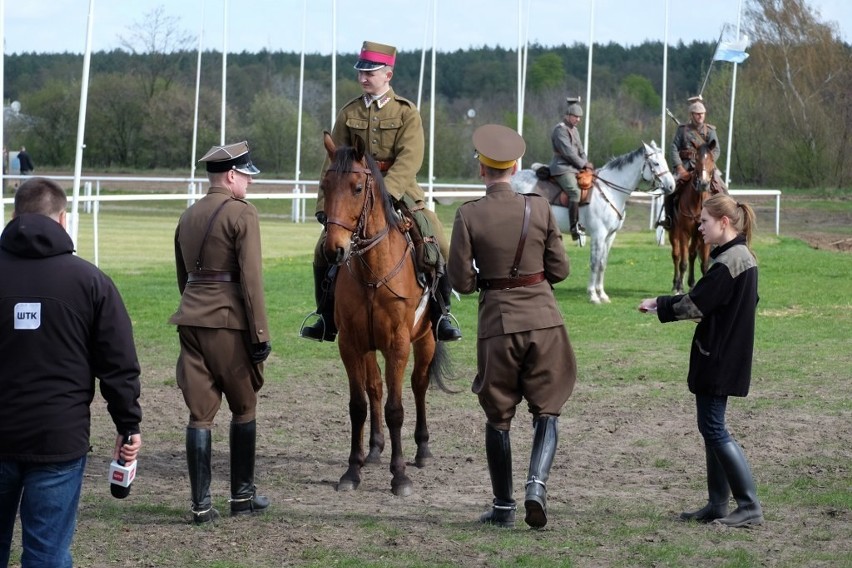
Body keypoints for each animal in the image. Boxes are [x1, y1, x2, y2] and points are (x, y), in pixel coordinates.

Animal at [320, 131, 452, 494]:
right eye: (324, 186)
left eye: (357, 188)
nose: (334, 250)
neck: (372, 273)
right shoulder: (351, 344)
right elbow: (358, 405)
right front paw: (352, 471)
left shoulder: (398, 344)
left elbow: (396, 408)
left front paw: (400, 475)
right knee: (375, 387)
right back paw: (375, 449)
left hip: (426, 340)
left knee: (419, 384)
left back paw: (421, 450)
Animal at [512, 140, 672, 304]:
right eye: (656, 163)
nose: (671, 186)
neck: (609, 191)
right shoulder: (598, 235)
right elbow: (594, 264)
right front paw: (593, 295)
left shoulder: (610, 236)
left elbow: (602, 264)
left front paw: (602, 294)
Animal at [668, 140, 716, 296]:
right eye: (697, 159)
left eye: (711, 159)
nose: (703, 184)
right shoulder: (684, 233)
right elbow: (683, 263)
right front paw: (679, 288)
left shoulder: (703, 235)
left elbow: (704, 264)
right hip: (674, 233)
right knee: (677, 256)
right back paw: (676, 283)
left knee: (692, 254)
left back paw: (691, 283)